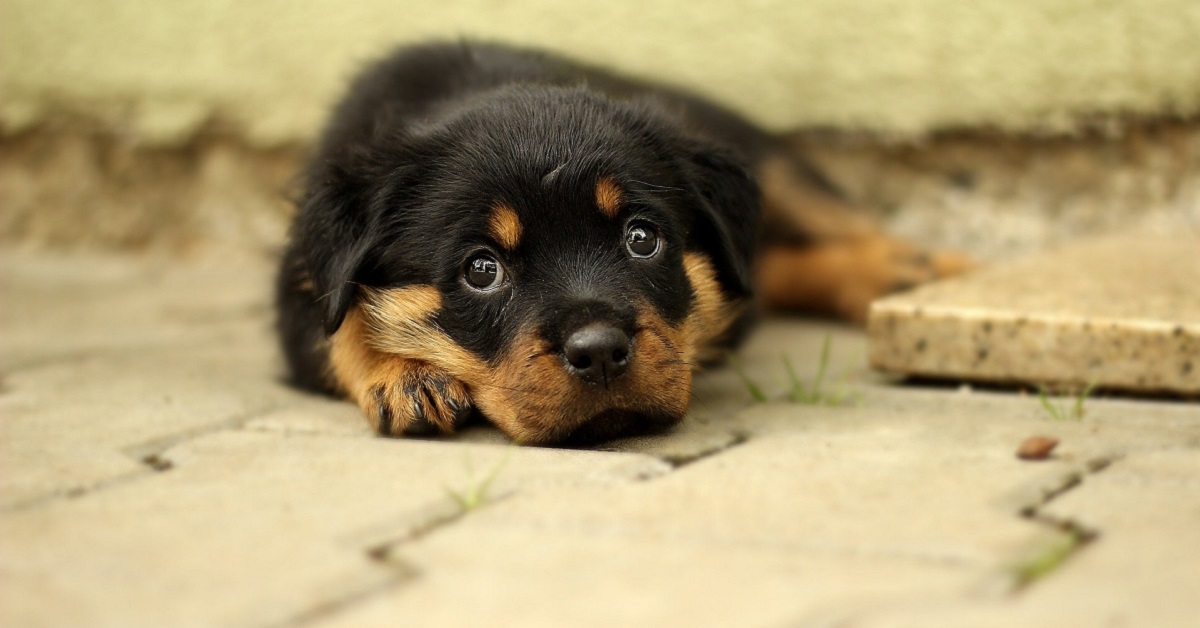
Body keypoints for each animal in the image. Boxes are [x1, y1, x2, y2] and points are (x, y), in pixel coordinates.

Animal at [276, 41, 969, 444]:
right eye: (482, 270)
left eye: (642, 239)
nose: (602, 353)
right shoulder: (304, 269)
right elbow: (336, 327)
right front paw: (405, 375)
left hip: (775, 167)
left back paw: (929, 269)